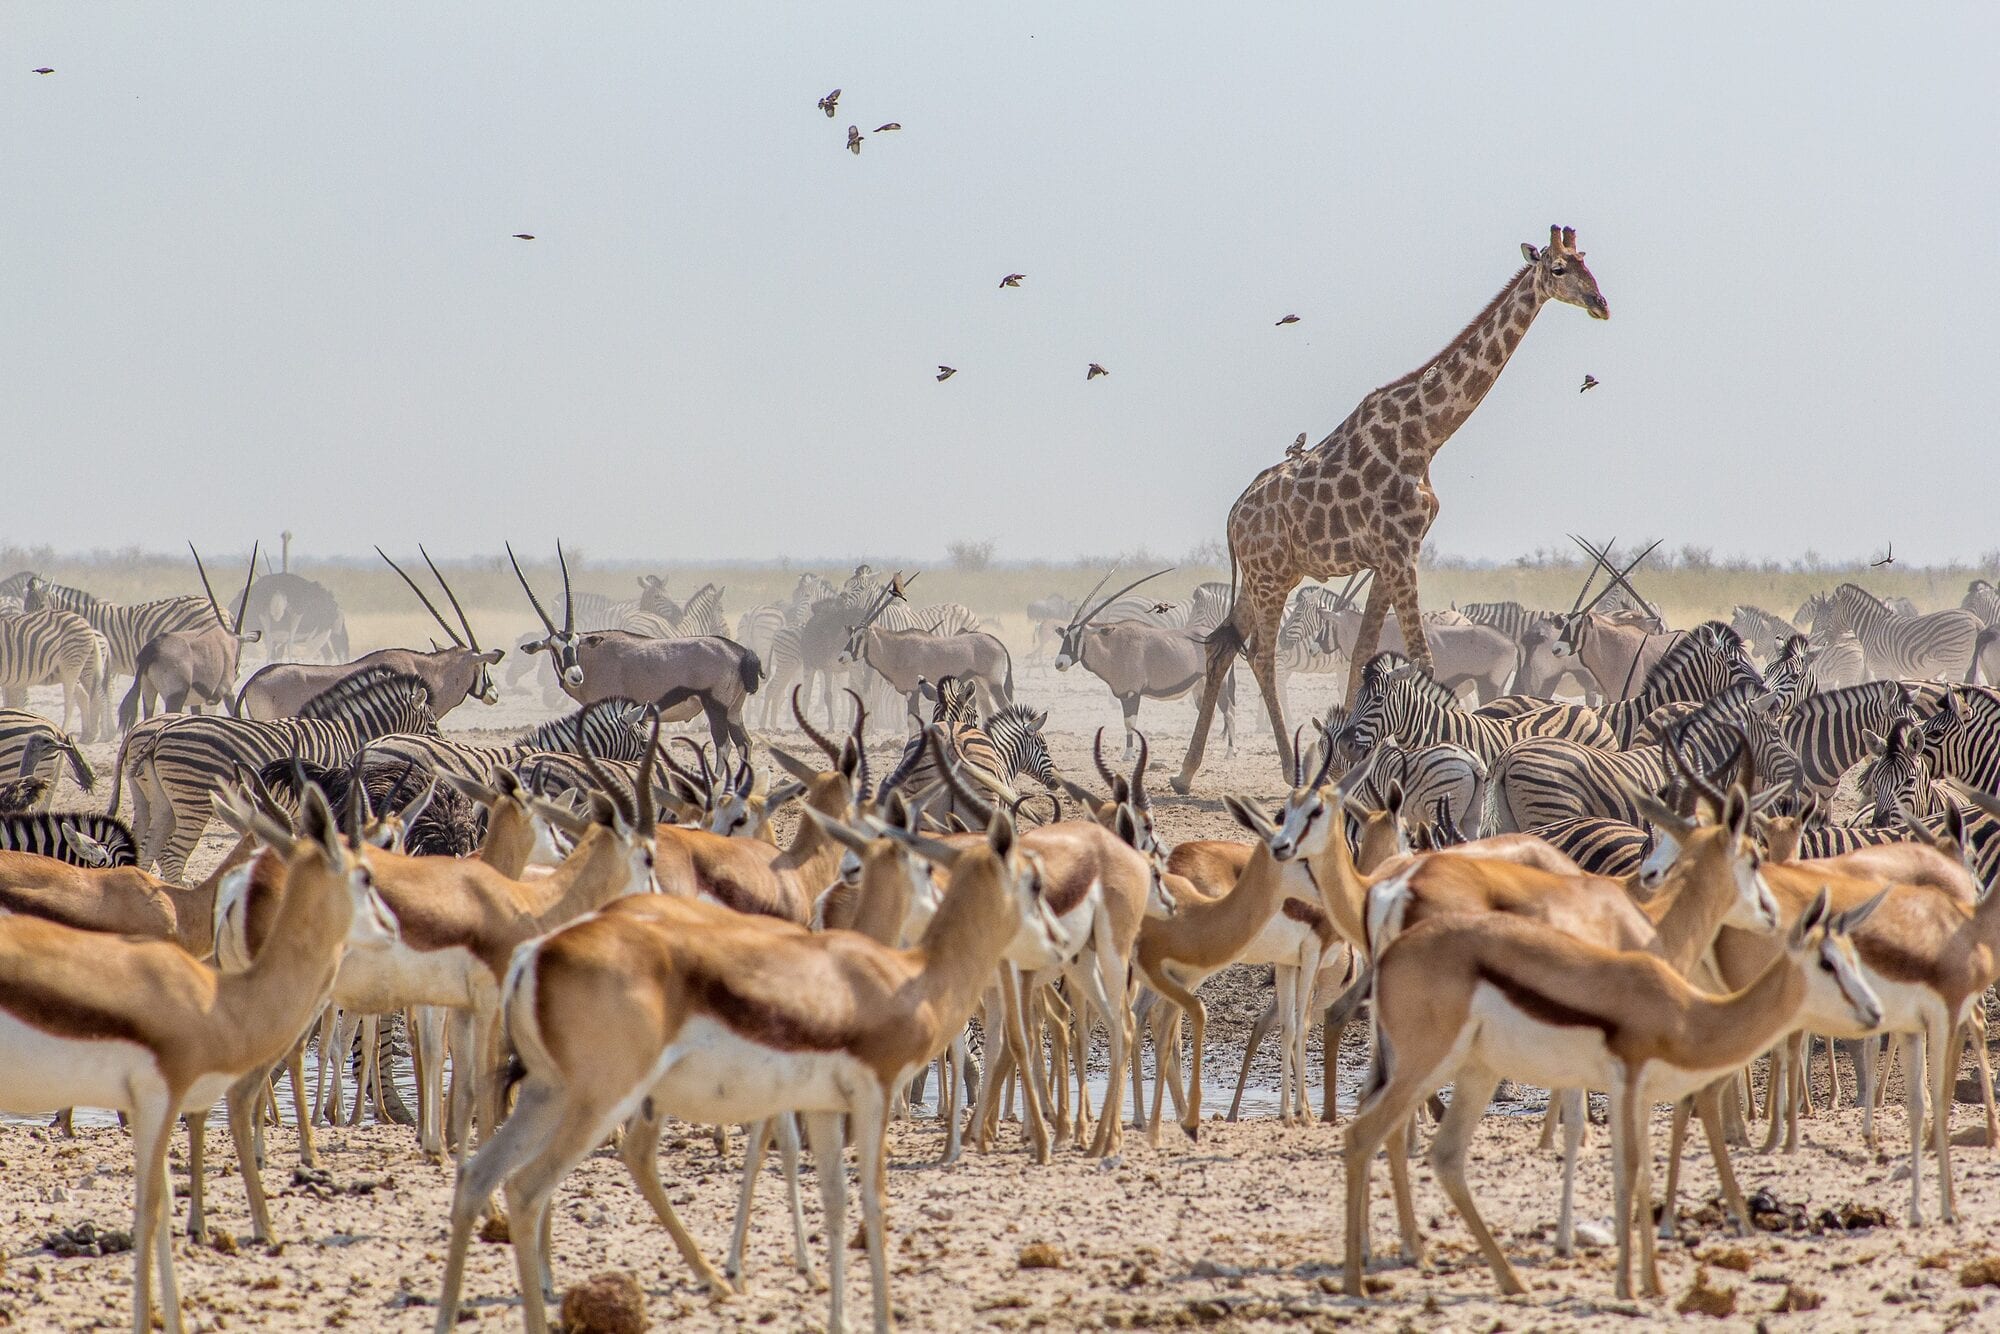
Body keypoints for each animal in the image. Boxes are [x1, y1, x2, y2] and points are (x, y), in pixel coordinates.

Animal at [0, 607, 110, 738]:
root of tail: (85, 622)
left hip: (71, 664)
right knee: (93, 697)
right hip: (82, 670)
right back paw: (90, 735)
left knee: (71, 703)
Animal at [119, 667, 437, 878]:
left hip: (158, 801)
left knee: (148, 847)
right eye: (433, 724)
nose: (439, 741)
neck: (347, 733)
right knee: (172, 855)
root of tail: (159, 733)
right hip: (192, 800)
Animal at [1821, 583, 1981, 681]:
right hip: (1966, 665)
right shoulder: (1893, 670)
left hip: (1954, 663)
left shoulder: (1880, 667)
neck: (1871, 626)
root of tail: (1974, 619)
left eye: (1830, 610)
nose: (1826, 639)